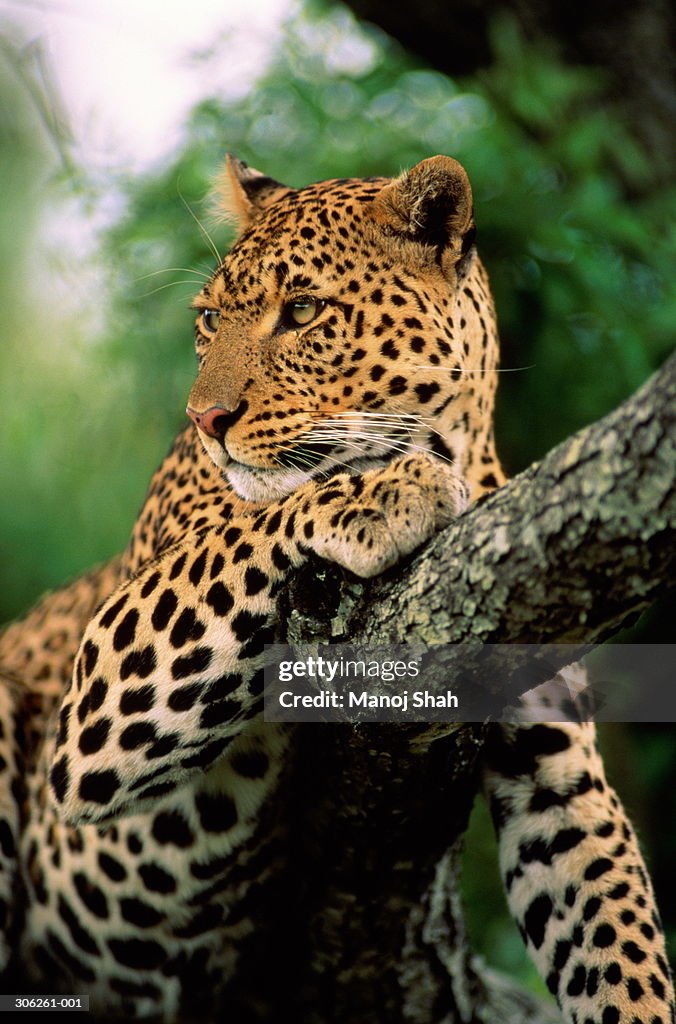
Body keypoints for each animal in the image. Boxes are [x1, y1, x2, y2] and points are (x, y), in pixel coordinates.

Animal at [0, 153, 671, 1024]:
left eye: (303, 310)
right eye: (208, 319)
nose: (206, 418)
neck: (452, 445)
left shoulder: (556, 771)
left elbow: (621, 947)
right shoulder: (101, 692)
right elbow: (254, 521)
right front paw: (389, 493)